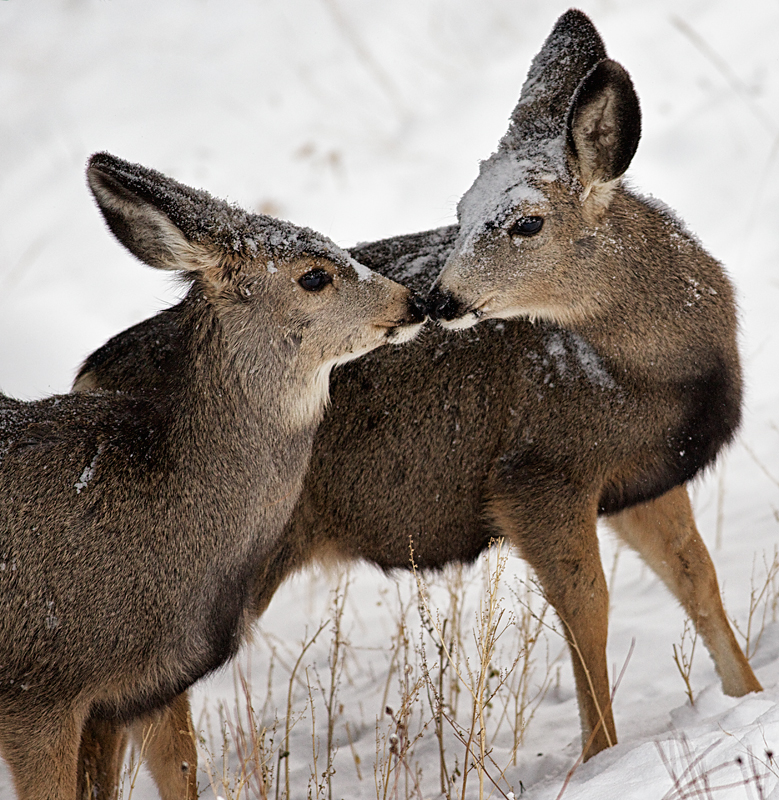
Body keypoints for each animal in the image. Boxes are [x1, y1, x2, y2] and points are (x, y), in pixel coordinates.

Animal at [70, 9, 764, 796]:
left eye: (525, 222)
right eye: (460, 210)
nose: (439, 299)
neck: (660, 371)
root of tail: (91, 381)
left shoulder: (641, 476)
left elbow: (697, 577)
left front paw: (747, 698)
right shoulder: (537, 473)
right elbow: (589, 606)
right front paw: (601, 760)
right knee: (140, 711)